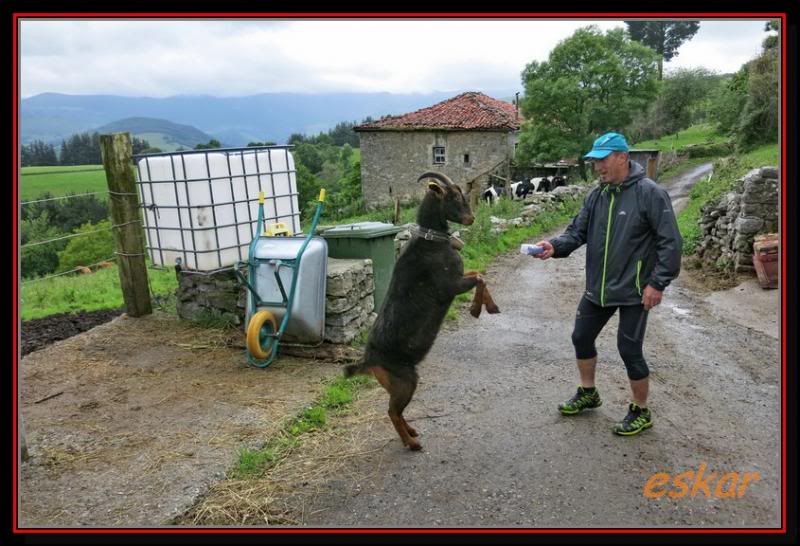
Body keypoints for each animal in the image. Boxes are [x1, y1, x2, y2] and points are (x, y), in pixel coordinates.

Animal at [344, 172, 500, 448]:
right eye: (454, 196)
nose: (471, 219)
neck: (432, 241)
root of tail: (368, 361)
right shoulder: (450, 286)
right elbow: (480, 277)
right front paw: (476, 310)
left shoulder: (458, 278)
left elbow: (478, 274)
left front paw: (488, 307)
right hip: (405, 380)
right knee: (392, 411)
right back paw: (411, 443)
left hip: (397, 384)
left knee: (396, 410)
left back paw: (412, 432)